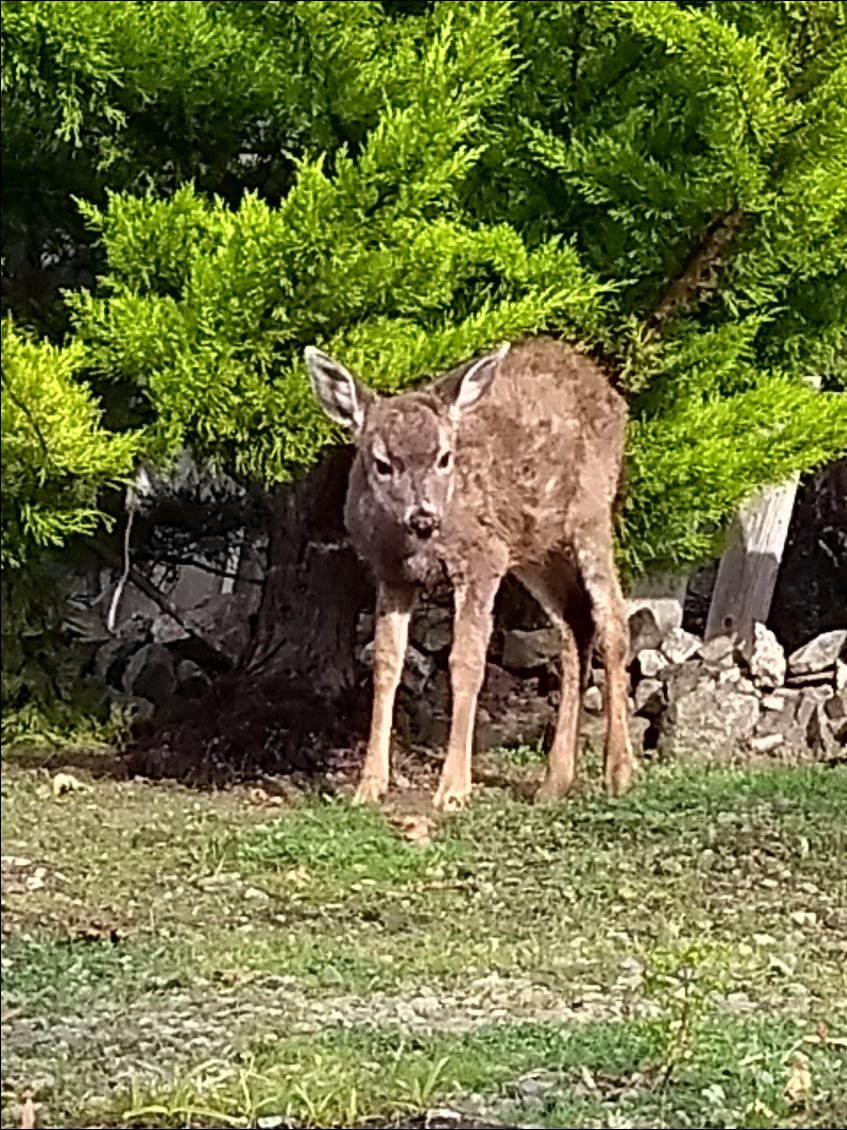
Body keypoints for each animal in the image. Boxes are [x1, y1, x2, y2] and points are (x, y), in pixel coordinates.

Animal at [307, 336, 636, 813]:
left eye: (445, 457)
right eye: (383, 463)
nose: (424, 517)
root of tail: (607, 387)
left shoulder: (481, 559)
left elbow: (465, 663)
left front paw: (453, 789)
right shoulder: (391, 575)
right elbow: (386, 663)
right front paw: (369, 786)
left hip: (591, 511)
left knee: (612, 618)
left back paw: (620, 771)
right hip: (531, 544)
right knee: (575, 622)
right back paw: (554, 782)